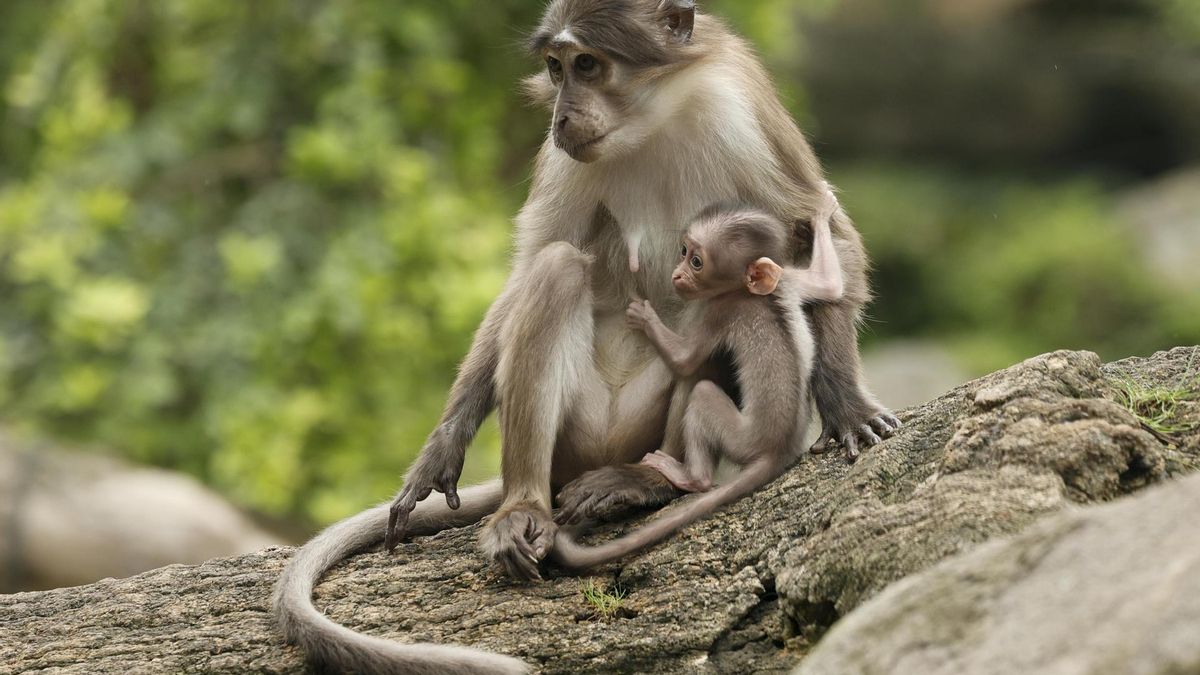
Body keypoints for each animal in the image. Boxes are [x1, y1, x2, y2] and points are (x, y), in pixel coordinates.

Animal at [553, 191, 843, 571]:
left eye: (696, 262)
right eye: (682, 251)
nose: (677, 275)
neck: (753, 293)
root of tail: (779, 449)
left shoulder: (718, 309)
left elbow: (686, 360)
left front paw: (644, 316)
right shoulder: (789, 281)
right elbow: (829, 284)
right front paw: (823, 209)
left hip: (740, 437)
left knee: (703, 397)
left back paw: (686, 475)